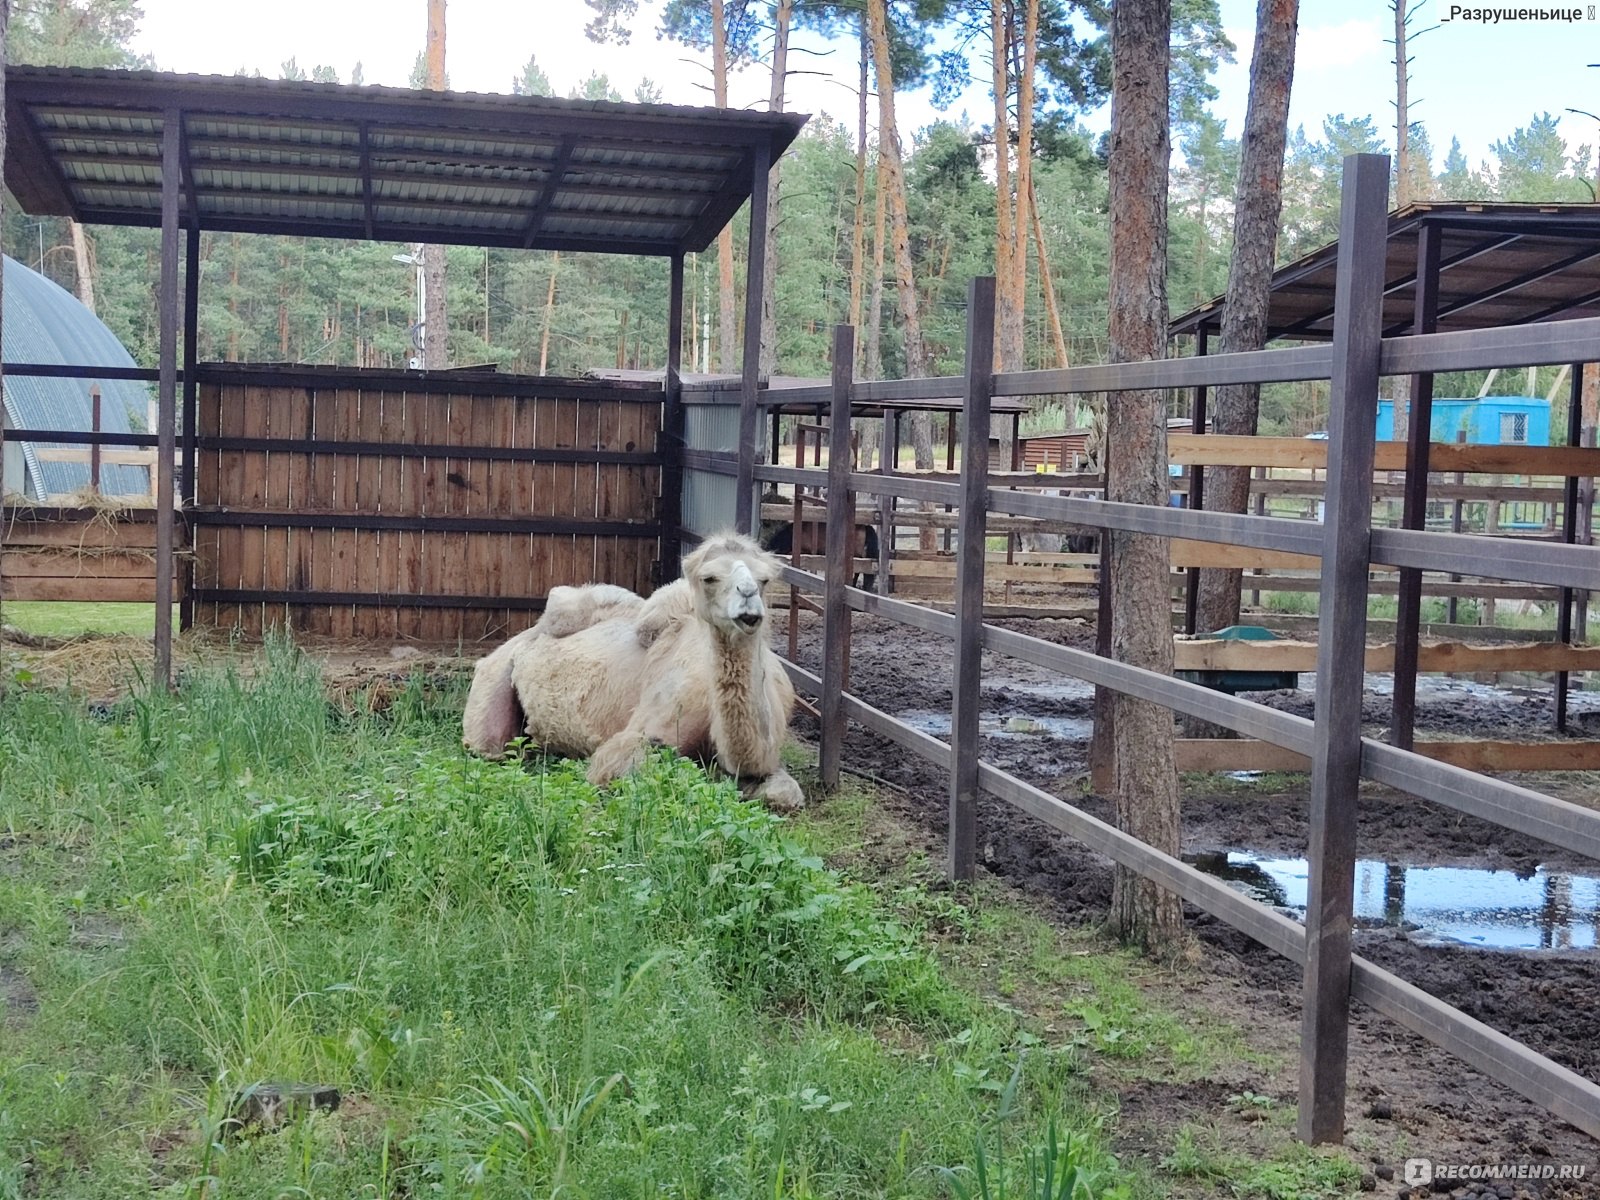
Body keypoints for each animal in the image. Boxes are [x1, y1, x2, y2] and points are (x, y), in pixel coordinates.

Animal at [460, 537, 806, 812]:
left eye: (764, 580)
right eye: (709, 578)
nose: (748, 598)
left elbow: (786, 793)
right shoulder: (644, 730)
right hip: (494, 685)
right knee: (490, 746)